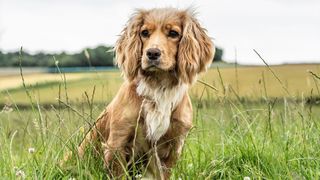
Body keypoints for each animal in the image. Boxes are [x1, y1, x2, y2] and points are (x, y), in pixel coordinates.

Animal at [76, 7, 215, 179]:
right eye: (144, 32)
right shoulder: (117, 142)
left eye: (174, 33)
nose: (152, 53)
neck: (158, 86)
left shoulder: (173, 147)